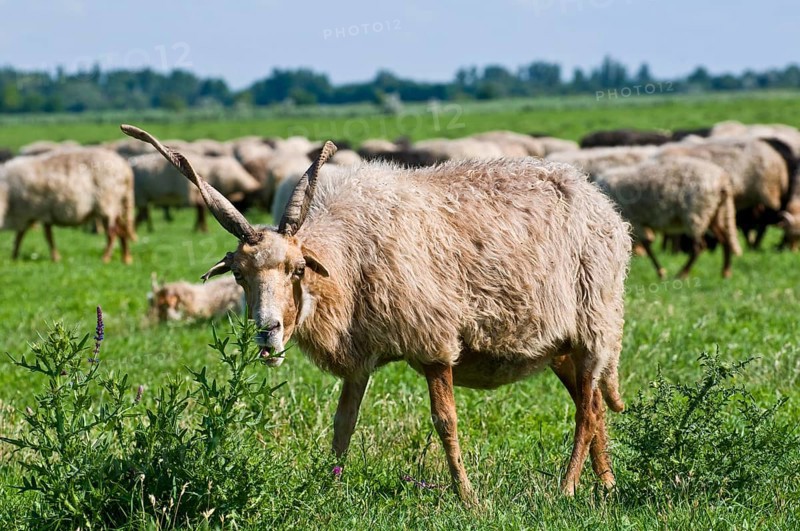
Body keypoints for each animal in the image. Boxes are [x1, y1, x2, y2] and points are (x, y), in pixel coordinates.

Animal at [0, 147, 135, 263]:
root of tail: (125, 169)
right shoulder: (35, 214)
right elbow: (20, 236)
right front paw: (14, 256)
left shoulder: (36, 212)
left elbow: (44, 237)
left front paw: (55, 258)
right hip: (116, 206)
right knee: (122, 230)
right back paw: (126, 258)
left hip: (107, 204)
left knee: (112, 233)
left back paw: (106, 258)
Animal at [122, 124, 631, 504]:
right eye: (238, 275)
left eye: (297, 269)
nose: (267, 332)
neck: (348, 261)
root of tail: (599, 201)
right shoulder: (359, 355)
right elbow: (343, 423)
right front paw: (326, 489)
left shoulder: (432, 341)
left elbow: (445, 422)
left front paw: (467, 498)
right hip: (561, 343)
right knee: (593, 408)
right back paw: (606, 486)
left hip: (596, 324)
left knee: (588, 410)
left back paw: (566, 489)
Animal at [595, 156, 741, 278]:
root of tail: (722, 180)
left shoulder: (635, 220)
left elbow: (647, 245)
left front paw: (661, 272)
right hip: (712, 212)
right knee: (724, 239)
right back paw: (726, 272)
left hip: (696, 214)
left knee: (699, 247)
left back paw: (682, 274)